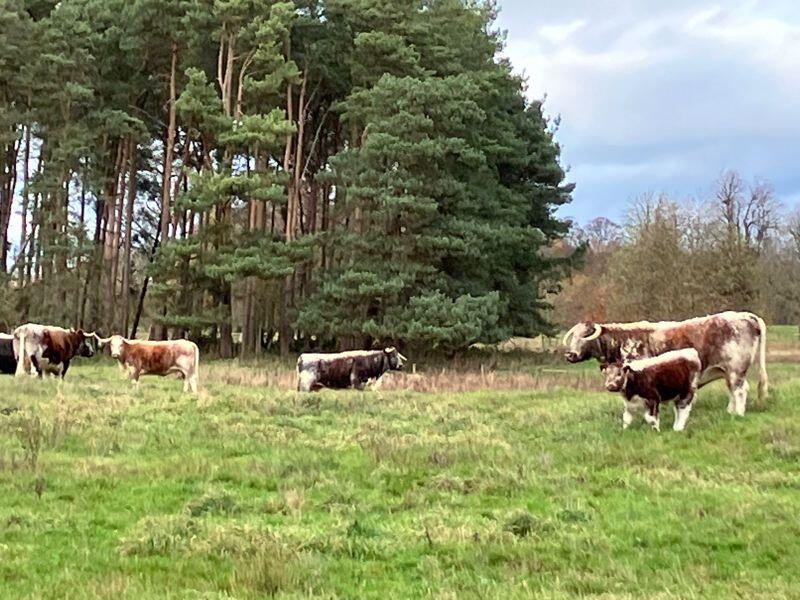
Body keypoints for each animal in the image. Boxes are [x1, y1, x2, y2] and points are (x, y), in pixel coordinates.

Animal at [562, 311, 768, 417]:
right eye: (573, 337)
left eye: (585, 336)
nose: (570, 355)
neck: (623, 343)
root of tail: (746, 316)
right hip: (728, 371)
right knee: (733, 390)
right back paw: (730, 412)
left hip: (735, 369)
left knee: (739, 391)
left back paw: (738, 414)